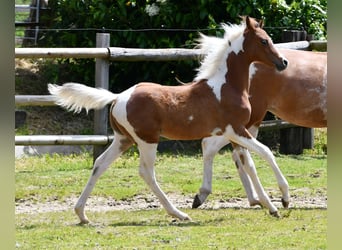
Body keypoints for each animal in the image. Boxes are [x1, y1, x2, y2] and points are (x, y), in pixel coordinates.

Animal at [48, 16, 288, 224]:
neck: (226, 86)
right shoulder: (235, 129)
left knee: (100, 164)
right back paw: (178, 214)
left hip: (123, 139)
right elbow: (266, 152)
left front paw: (271, 206)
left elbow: (248, 164)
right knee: (146, 172)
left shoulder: (235, 134)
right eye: (264, 40)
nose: (283, 62)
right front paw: (283, 198)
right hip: (147, 140)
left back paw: (81, 214)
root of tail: (117, 97)